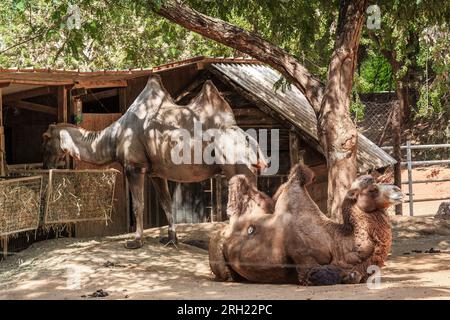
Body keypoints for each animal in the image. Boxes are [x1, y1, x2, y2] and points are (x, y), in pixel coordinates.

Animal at [209, 165, 402, 284]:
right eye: (372, 190)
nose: (398, 190)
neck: (339, 243)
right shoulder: (304, 259)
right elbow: (324, 274)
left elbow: (355, 274)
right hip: (217, 249)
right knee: (226, 273)